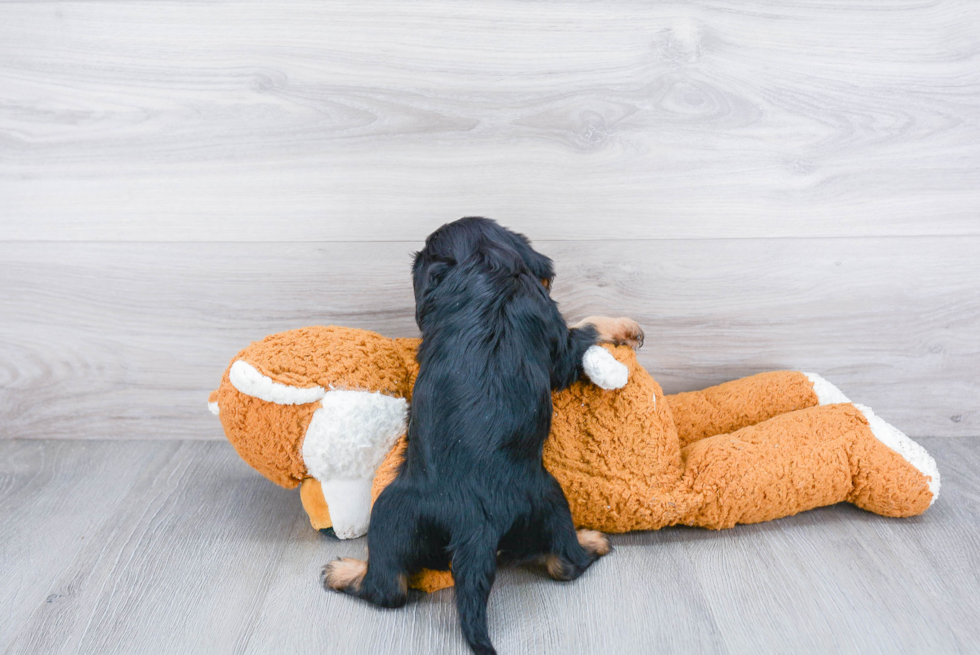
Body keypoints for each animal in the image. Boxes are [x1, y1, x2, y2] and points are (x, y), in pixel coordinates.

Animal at [322, 218, 644, 652]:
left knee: (388, 587)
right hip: (547, 500)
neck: (486, 268)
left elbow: (586, 325)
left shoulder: (557, 347)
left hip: (391, 509)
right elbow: (584, 326)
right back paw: (591, 539)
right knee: (563, 563)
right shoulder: (556, 341)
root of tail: (475, 522)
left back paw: (344, 571)